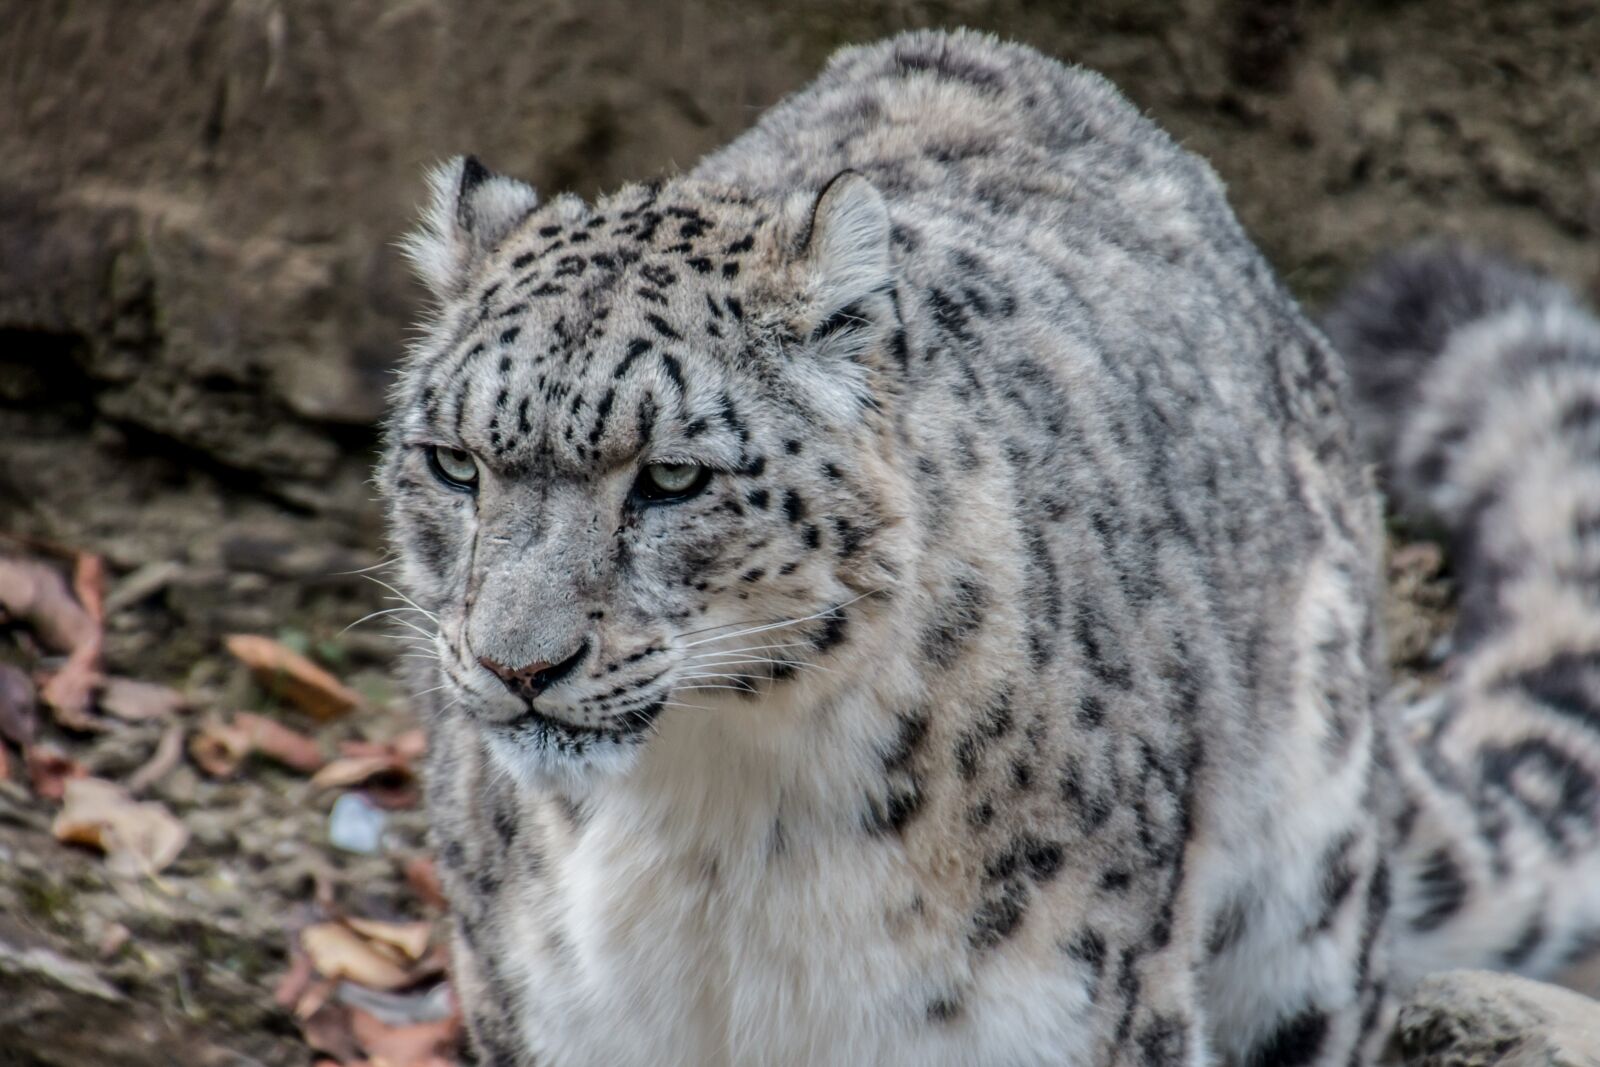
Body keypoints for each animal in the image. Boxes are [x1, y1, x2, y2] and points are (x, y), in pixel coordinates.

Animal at [379, 29, 1600, 1067]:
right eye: (454, 462)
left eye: (671, 476)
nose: (518, 665)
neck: (715, 825)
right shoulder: (540, 1010)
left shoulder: (1075, 1013)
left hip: (1305, 900)